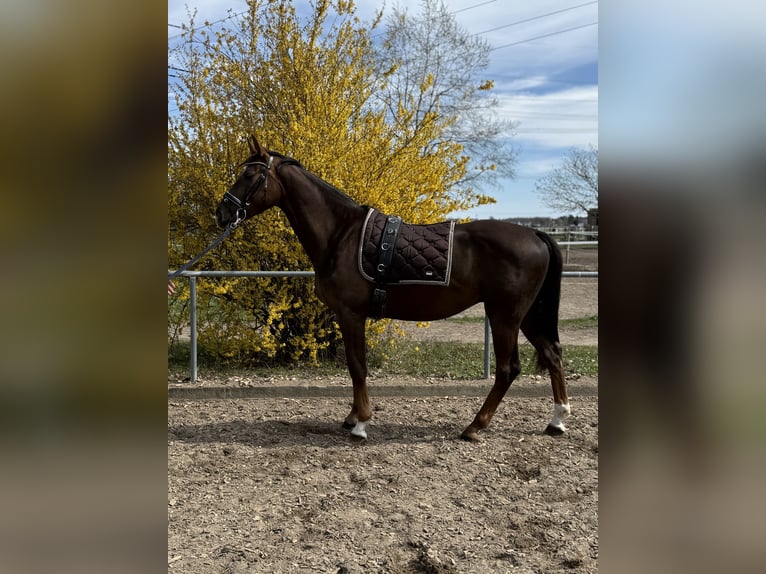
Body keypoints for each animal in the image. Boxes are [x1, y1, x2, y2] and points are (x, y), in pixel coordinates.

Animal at [215, 136, 569, 441]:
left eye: (249, 174)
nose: (223, 212)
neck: (341, 234)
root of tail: (535, 235)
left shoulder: (351, 314)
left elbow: (357, 366)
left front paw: (361, 423)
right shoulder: (348, 316)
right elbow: (355, 365)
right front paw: (353, 417)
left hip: (504, 315)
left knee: (508, 369)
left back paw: (475, 426)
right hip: (525, 315)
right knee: (551, 353)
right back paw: (557, 419)